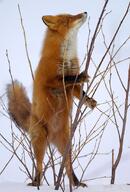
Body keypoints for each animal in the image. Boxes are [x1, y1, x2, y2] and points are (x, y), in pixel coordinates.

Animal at [6, 12, 96, 188]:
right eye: (68, 19)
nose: (84, 12)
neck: (66, 57)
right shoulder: (48, 81)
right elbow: (66, 78)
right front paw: (80, 76)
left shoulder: (72, 89)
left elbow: (81, 93)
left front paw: (90, 101)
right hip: (40, 141)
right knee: (39, 166)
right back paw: (36, 183)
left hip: (66, 146)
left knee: (68, 166)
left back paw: (76, 183)